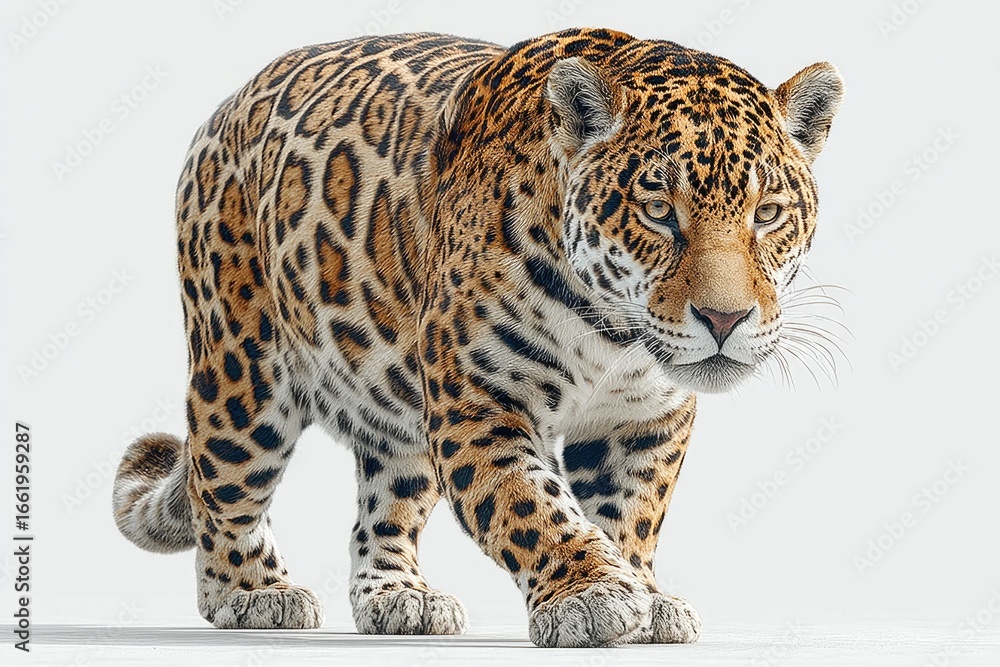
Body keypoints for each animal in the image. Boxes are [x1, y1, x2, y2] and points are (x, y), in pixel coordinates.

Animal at [112, 27, 843, 648]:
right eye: (658, 211)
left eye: (768, 213)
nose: (725, 320)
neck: (613, 336)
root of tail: (228, 105)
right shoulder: (480, 403)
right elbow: (531, 504)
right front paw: (592, 595)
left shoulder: (644, 420)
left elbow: (630, 512)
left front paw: (644, 593)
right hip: (242, 370)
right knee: (220, 482)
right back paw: (252, 591)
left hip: (397, 402)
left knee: (387, 499)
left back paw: (399, 595)